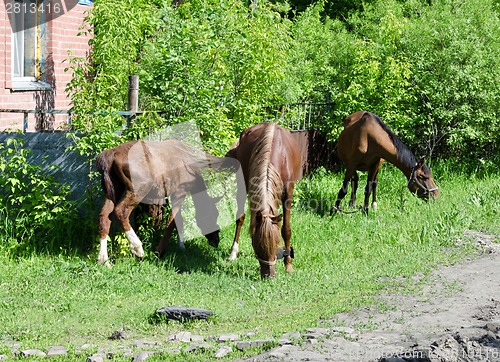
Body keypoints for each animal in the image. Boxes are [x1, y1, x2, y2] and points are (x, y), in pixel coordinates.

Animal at [226, 123, 300, 278]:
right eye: (258, 245)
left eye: (276, 243)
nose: (269, 275)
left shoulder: (288, 193)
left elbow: (286, 230)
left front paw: (288, 265)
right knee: (240, 219)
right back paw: (233, 252)